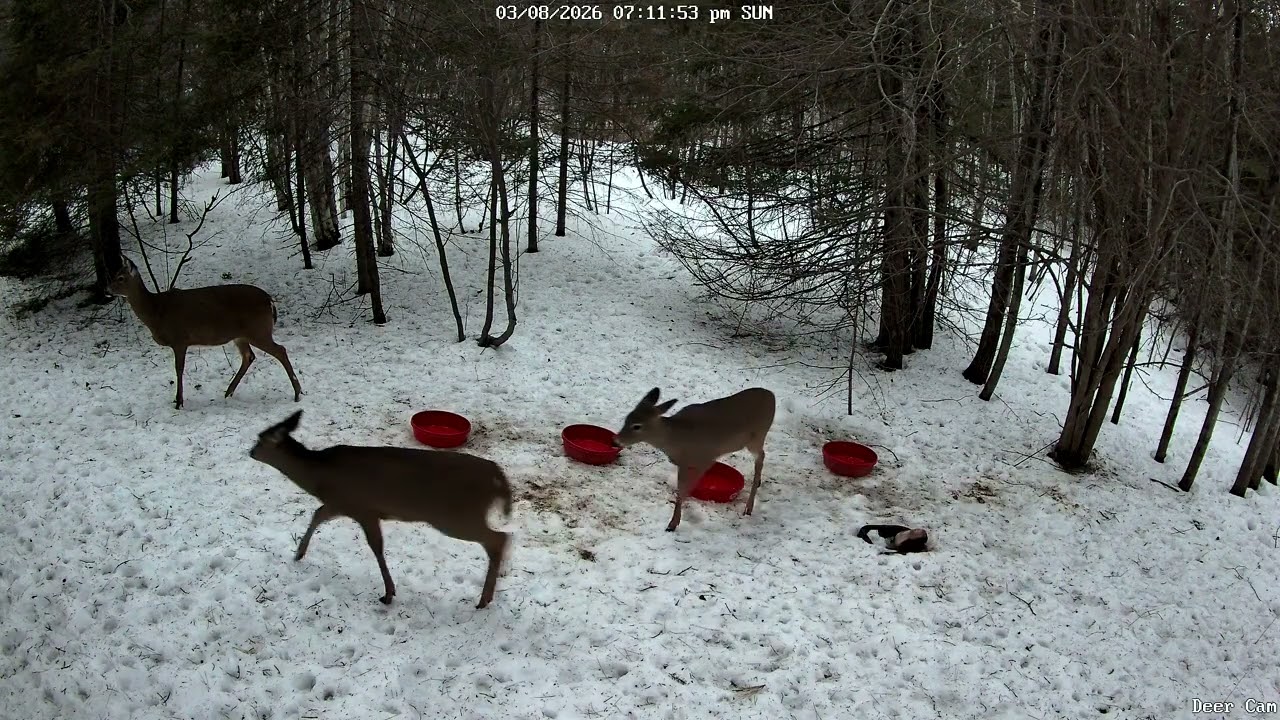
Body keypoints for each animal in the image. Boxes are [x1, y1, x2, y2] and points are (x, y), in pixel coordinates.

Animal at [107, 256, 302, 409]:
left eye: (121, 277)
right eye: (115, 275)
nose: (106, 290)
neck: (156, 312)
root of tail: (270, 300)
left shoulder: (180, 339)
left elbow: (179, 369)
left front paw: (179, 402)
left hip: (258, 330)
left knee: (280, 350)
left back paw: (297, 393)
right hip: (241, 335)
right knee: (249, 356)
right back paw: (228, 392)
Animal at [249, 410, 513, 609]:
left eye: (260, 439)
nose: (250, 452)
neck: (320, 477)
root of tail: (497, 476)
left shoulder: (361, 507)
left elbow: (375, 546)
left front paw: (388, 593)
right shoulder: (343, 504)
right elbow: (318, 515)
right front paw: (299, 554)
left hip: (455, 516)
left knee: (498, 538)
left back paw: (484, 600)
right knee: (502, 538)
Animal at [612, 387, 776, 532]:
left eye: (637, 426)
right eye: (627, 418)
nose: (615, 442)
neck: (676, 439)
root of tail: (771, 395)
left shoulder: (705, 459)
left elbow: (684, 490)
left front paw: (673, 524)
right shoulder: (683, 464)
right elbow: (681, 490)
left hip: (758, 435)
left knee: (761, 457)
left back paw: (749, 507)